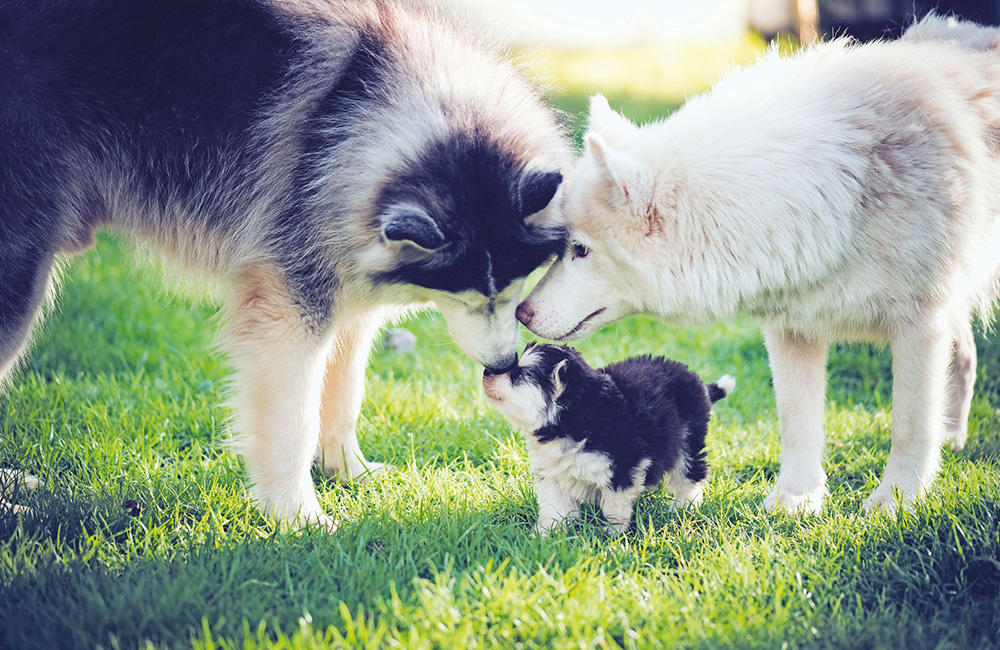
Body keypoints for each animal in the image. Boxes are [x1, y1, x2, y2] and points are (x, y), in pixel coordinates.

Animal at [480, 342, 732, 536]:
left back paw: (683, 507)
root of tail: (701, 385)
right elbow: (553, 509)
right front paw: (545, 535)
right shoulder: (554, 476)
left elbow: (614, 507)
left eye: (518, 375)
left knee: (691, 475)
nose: (485, 372)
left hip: (688, 439)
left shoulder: (622, 468)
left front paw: (612, 534)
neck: (572, 416)